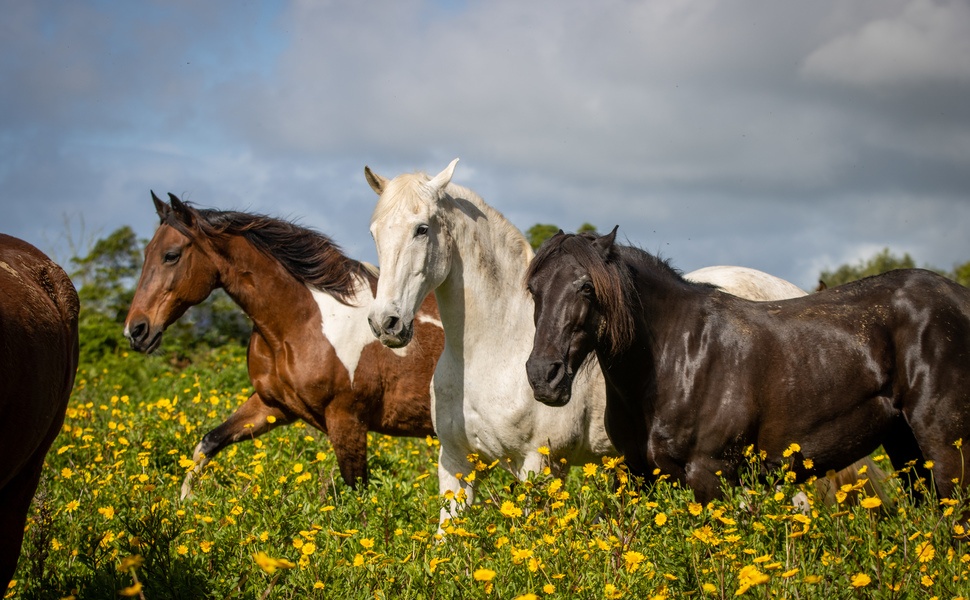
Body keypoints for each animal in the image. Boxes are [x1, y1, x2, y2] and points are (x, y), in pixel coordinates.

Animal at [124, 193, 442, 496]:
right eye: (147, 254)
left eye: (171, 255)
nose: (136, 331)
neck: (302, 321)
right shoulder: (273, 405)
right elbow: (208, 442)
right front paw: (186, 502)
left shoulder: (346, 420)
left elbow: (358, 495)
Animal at [364, 159, 876, 524]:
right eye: (375, 233)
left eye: (422, 228)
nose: (385, 321)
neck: (492, 350)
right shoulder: (455, 464)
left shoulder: (538, 467)